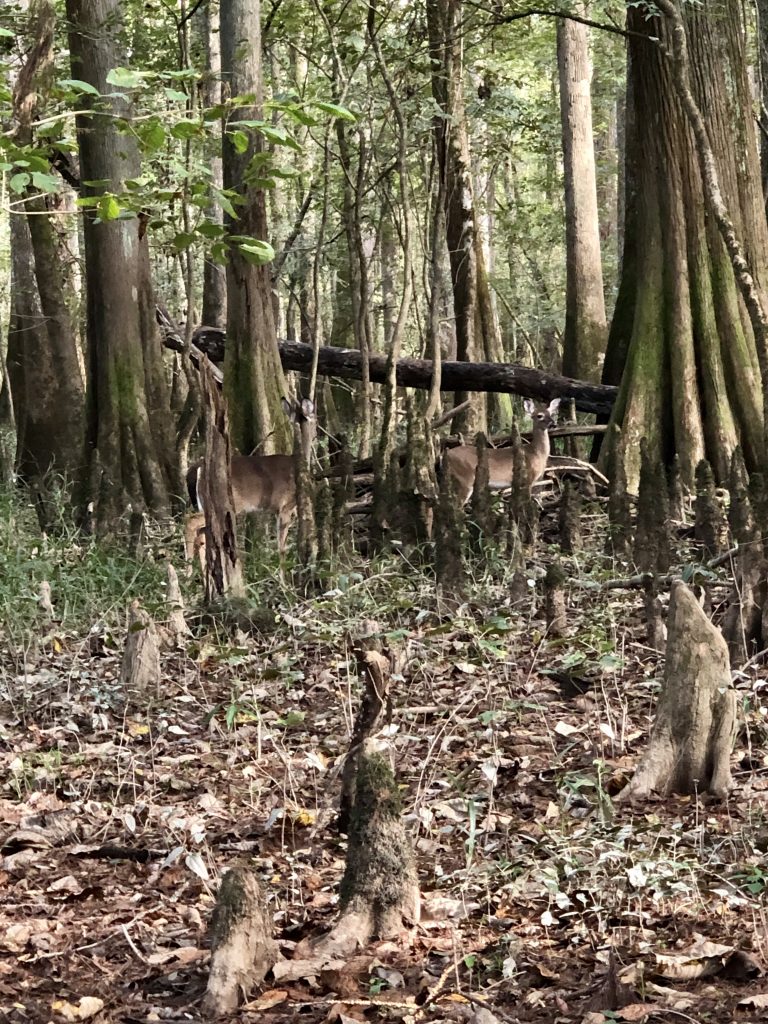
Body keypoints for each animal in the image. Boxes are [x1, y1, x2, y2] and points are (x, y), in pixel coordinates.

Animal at [185, 395, 313, 569]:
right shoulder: (285, 505)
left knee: (202, 534)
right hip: (217, 504)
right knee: (190, 523)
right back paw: (188, 569)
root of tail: (196, 469)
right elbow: (281, 547)